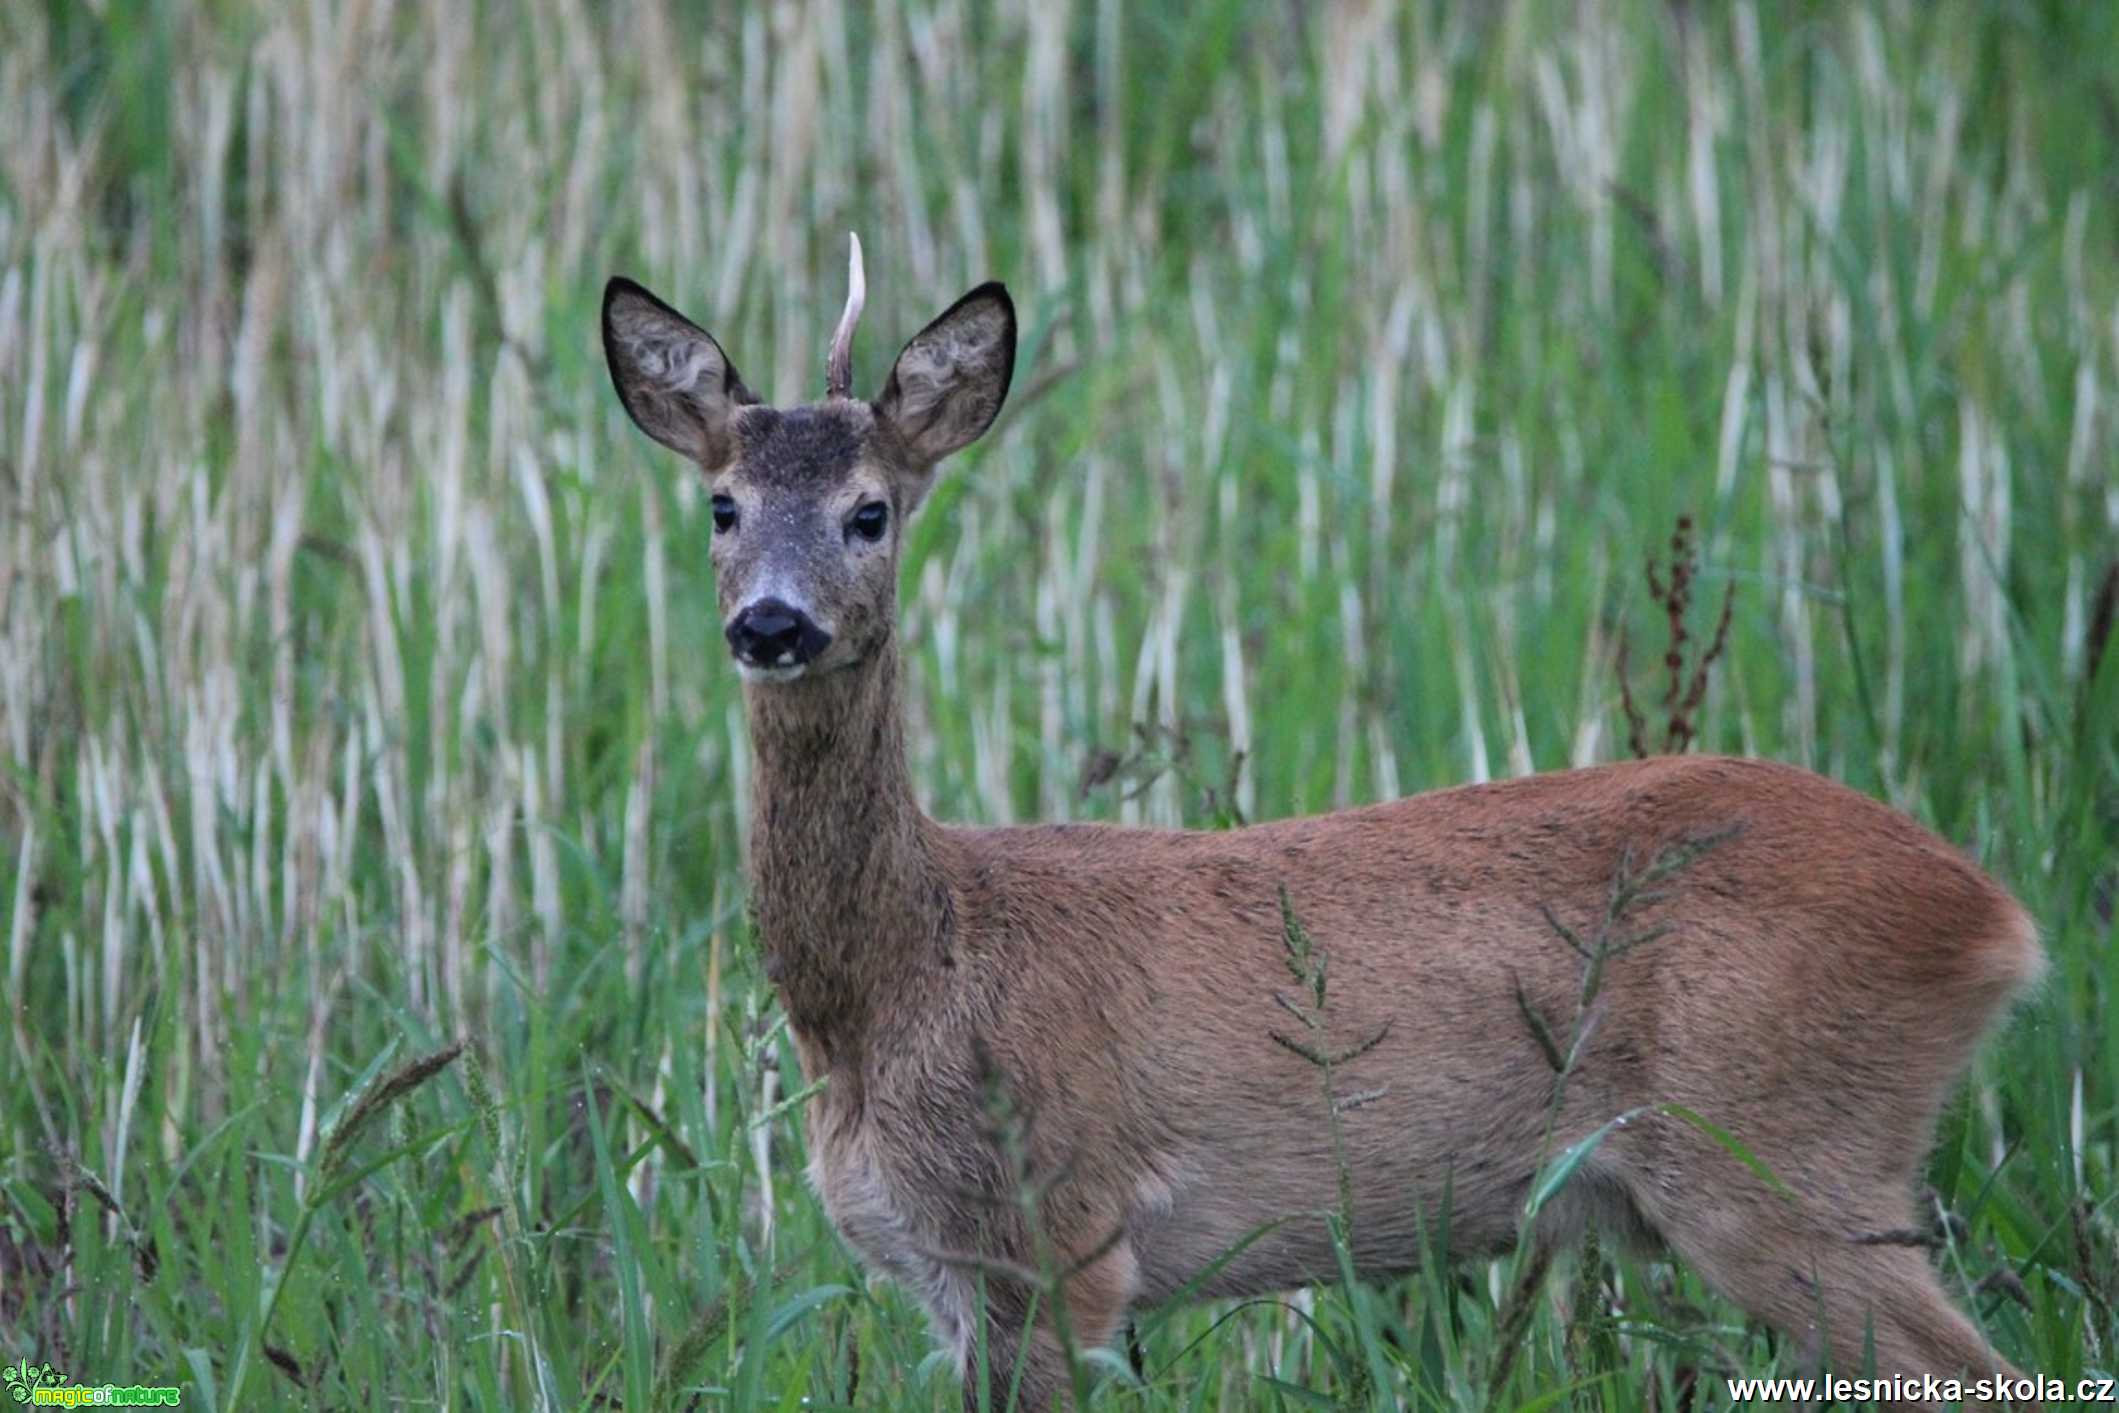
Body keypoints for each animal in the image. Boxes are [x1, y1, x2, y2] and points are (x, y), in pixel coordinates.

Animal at [606, 237, 2042, 1406]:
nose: (772, 624)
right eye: (722, 505)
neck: (902, 978)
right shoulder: (959, 1285)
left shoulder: (1060, 1243)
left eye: (870, 510)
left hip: (1785, 1159)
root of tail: (1994, 918)